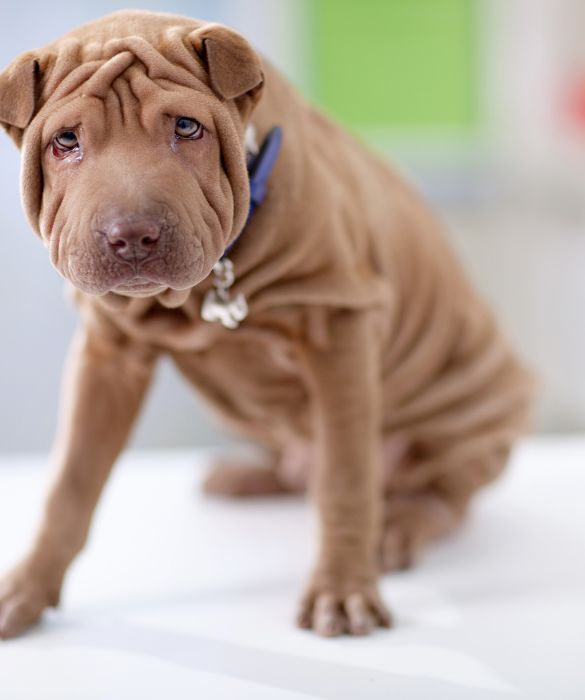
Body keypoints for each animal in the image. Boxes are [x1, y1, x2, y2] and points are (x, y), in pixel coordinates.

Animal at [0, 9, 532, 640]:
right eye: (66, 141)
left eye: (187, 127)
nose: (131, 237)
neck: (208, 287)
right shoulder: (108, 355)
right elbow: (70, 483)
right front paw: (26, 586)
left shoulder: (339, 328)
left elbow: (346, 477)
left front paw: (342, 589)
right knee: (302, 467)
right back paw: (249, 476)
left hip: (475, 406)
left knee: (442, 494)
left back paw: (399, 527)